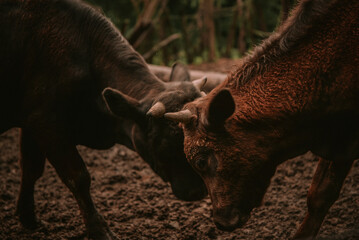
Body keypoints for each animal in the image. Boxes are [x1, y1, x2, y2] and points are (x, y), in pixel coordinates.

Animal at [0, 0, 208, 240]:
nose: (197, 191)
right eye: (167, 144)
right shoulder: (46, 122)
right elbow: (78, 177)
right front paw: (100, 230)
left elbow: (31, 169)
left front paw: (28, 218)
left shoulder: (31, 121)